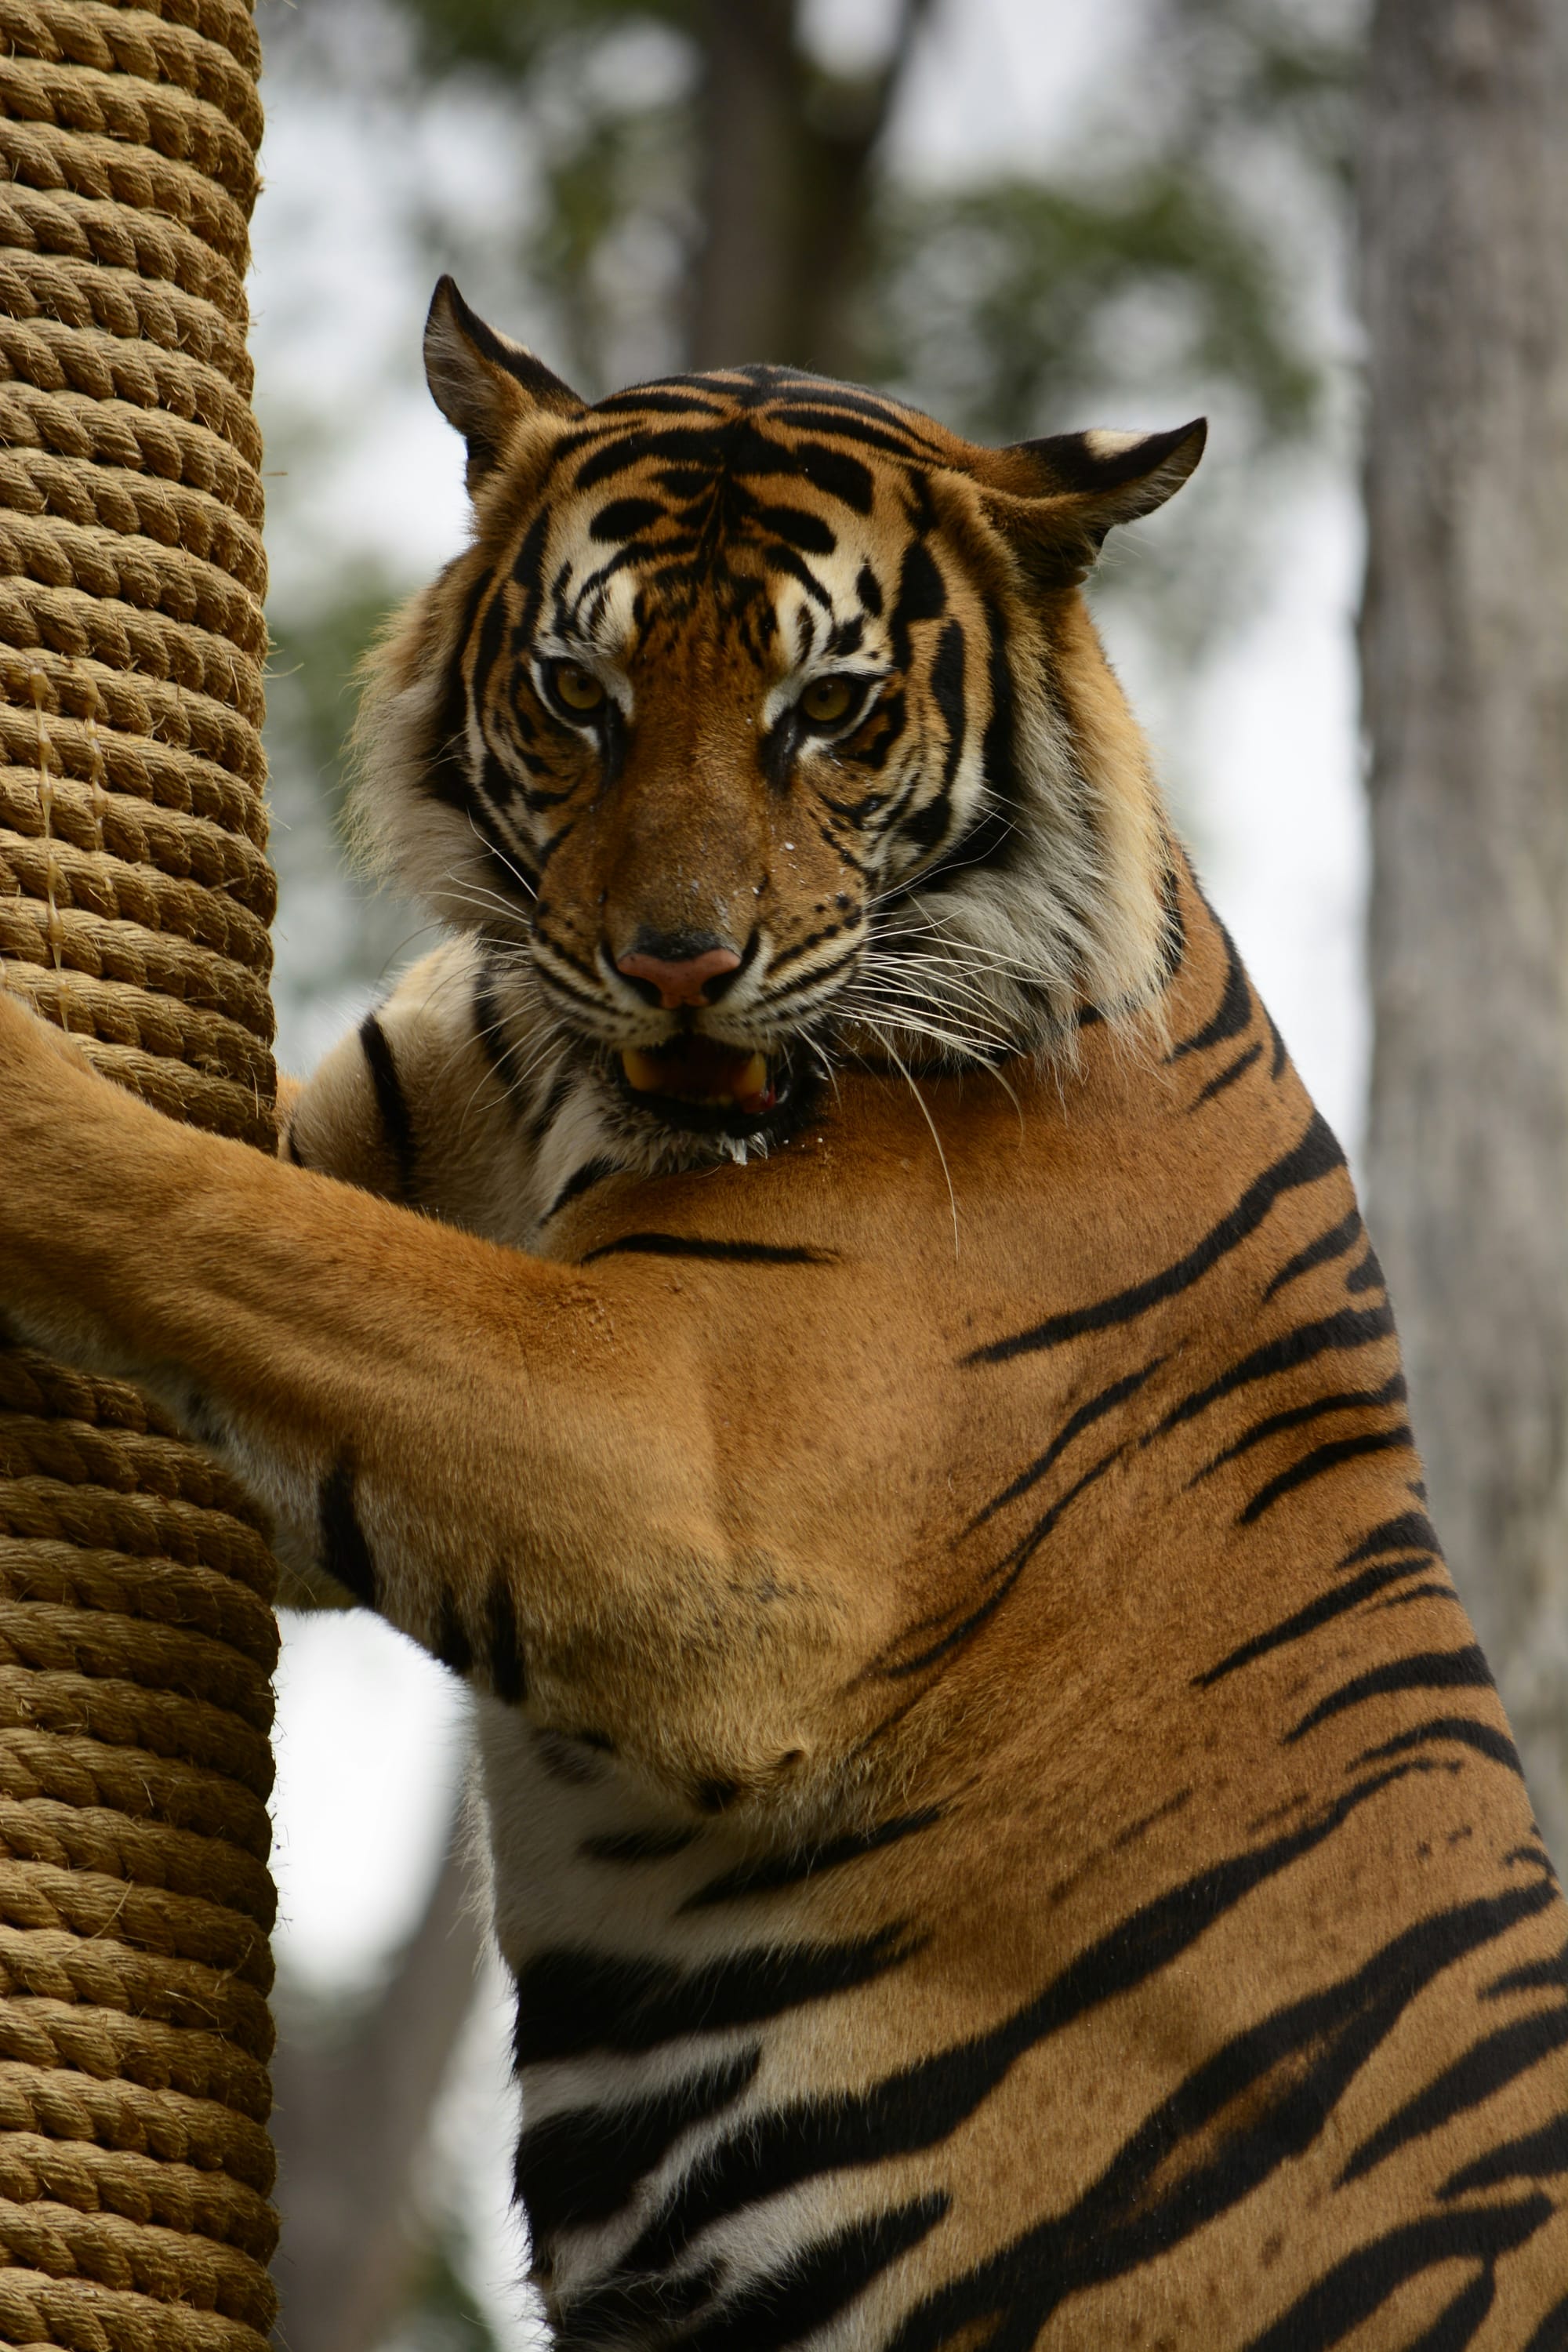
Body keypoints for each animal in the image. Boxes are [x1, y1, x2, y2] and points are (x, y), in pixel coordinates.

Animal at [0, 271, 1565, 2350]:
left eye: (825, 711)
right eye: (575, 695)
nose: (676, 965)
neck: (567, 1091)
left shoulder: (688, 1474)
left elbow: (218, 1219)